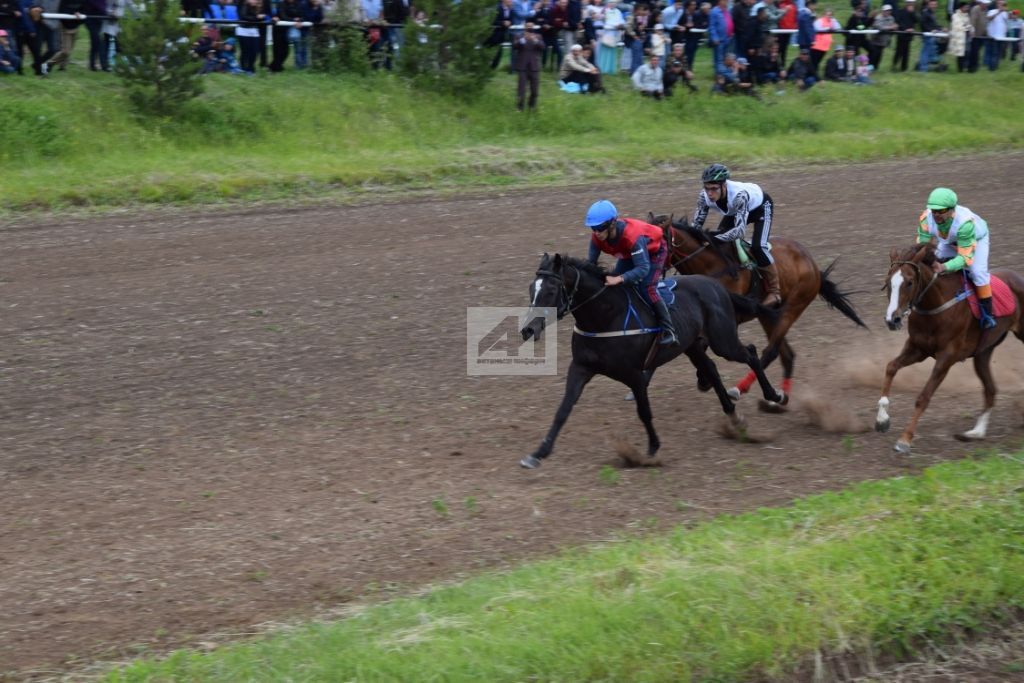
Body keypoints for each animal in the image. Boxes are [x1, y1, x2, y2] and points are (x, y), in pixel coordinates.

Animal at [516, 252, 786, 471]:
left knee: (750, 354)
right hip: (692, 346)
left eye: (551, 290)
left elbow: (644, 411)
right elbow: (563, 410)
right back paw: (733, 416)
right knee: (711, 369)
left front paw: (652, 449)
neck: (605, 316)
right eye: (531, 289)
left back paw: (774, 395)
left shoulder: (635, 374)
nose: (528, 329)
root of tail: (715, 285)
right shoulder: (581, 367)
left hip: (723, 341)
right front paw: (537, 454)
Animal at [647, 214, 864, 403]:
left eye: (655, 246)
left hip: (793, 307)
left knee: (771, 352)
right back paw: (778, 397)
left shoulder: (726, 319)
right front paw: (703, 377)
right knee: (786, 354)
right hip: (768, 316)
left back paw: (741, 389)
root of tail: (812, 264)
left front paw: (705, 378)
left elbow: (704, 346)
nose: (648, 275)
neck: (711, 266)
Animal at [872, 244, 1024, 454]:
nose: (892, 320)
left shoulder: (946, 357)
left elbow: (923, 397)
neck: (936, 304)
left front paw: (905, 439)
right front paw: (882, 420)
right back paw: (975, 432)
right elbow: (891, 367)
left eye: (909, 282)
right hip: (983, 352)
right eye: (888, 282)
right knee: (990, 389)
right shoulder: (918, 349)